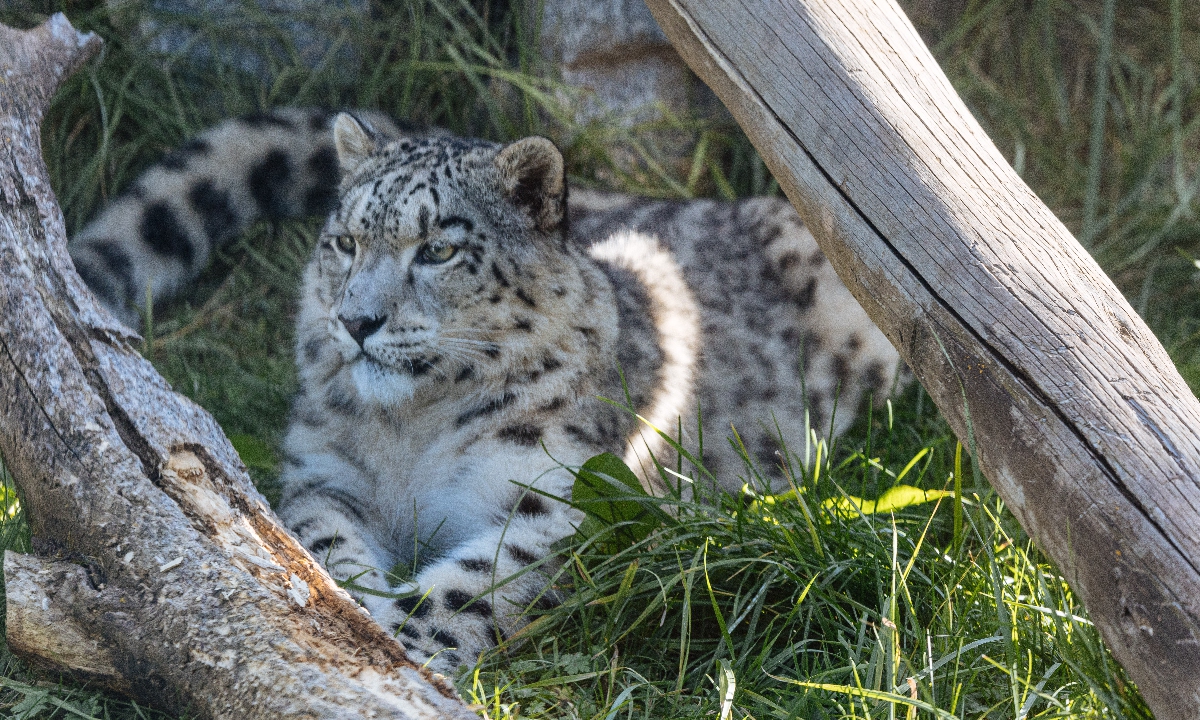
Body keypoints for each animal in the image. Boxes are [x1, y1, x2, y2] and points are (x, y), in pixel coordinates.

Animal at [69, 107, 904, 672]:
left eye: (437, 249)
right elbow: (322, 545)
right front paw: (353, 613)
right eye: (345, 242)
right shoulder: (324, 476)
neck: (413, 428)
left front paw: (406, 646)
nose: (357, 320)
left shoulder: (567, 500)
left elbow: (475, 583)